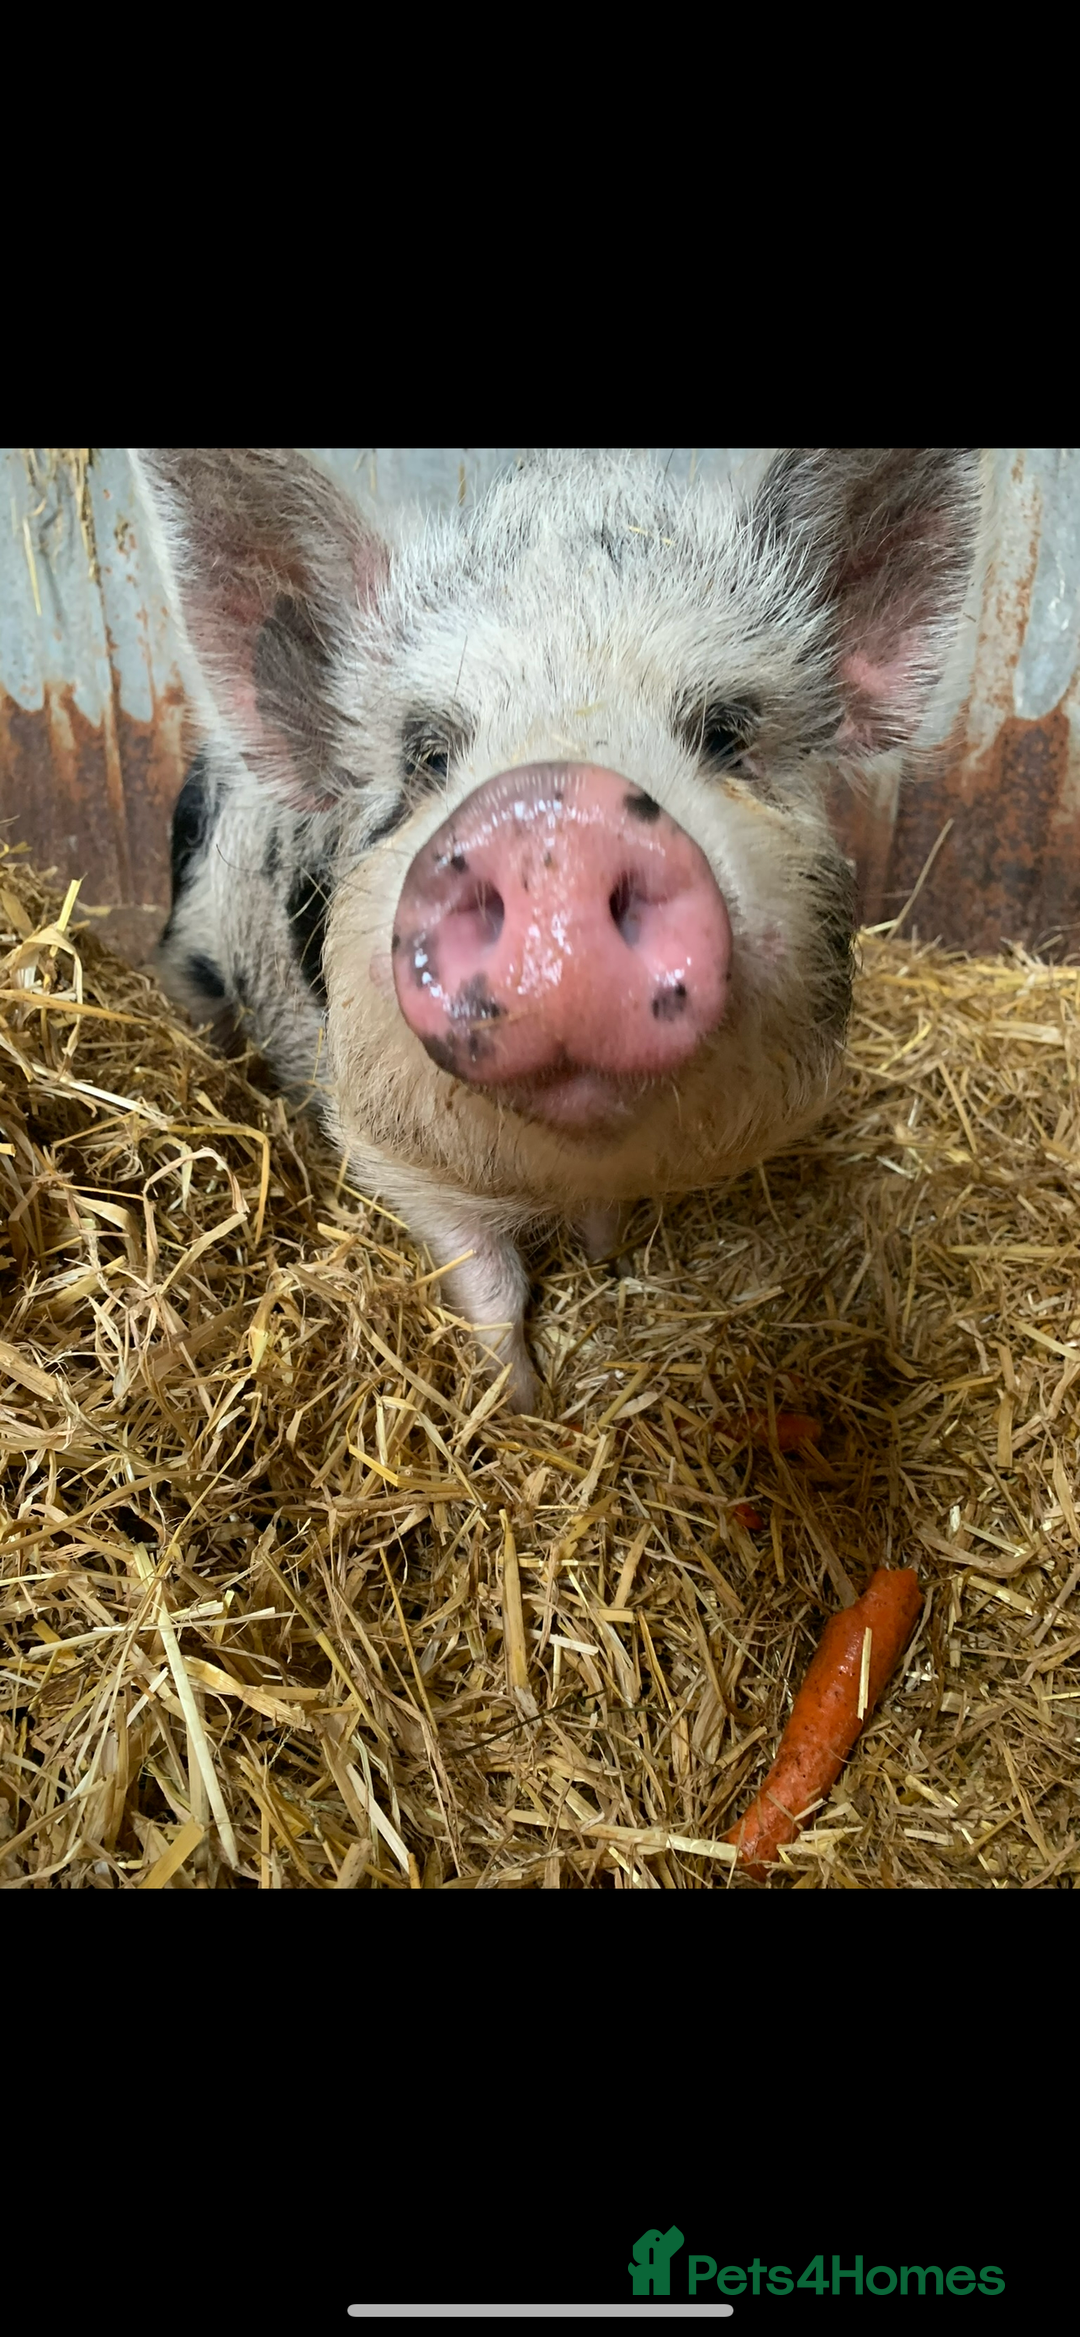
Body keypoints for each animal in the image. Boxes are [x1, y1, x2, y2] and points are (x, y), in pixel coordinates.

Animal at [131, 448, 981, 1412]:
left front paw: (604, 1277)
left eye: (725, 734)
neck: (560, 1165)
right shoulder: (392, 1148)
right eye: (427, 755)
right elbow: (488, 1281)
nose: (555, 820)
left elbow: (603, 1226)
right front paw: (521, 1406)